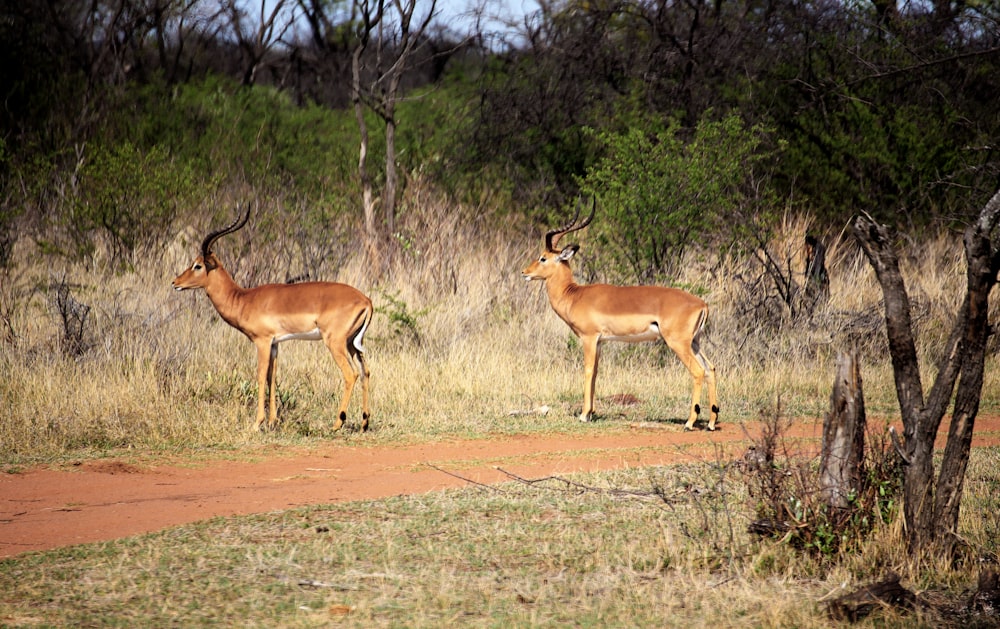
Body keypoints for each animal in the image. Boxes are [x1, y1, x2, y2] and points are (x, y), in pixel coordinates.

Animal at [174, 204, 374, 430]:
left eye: (197, 265)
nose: (175, 282)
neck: (243, 298)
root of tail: (366, 300)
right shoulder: (275, 344)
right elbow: (272, 377)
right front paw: (272, 421)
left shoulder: (262, 341)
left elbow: (261, 376)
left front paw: (257, 423)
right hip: (352, 343)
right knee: (365, 372)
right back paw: (364, 422)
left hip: (335, 343)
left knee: (351, 374)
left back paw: (337, 423)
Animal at [524, 199, 720, 430]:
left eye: (543, 258)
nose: (525, 272)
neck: (574, 295)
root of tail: (702, 304)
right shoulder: (600, 341)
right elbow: (596, 372)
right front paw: (591, 413)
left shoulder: (589, 338)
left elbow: (588, 370)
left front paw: (583, 414)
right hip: (695, 342)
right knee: (711, 369)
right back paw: (711, 422)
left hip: (678, 343)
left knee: (698, 372)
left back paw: (690, 422)